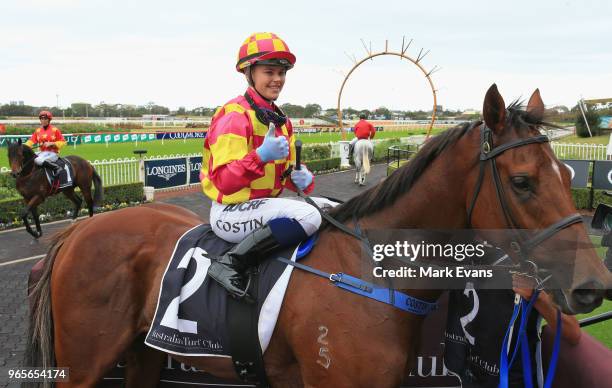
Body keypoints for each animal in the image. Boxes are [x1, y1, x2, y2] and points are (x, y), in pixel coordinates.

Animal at [23, 85, 612, 388]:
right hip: (85, 359)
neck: (369, 271)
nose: (592, 285)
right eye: (522, 181)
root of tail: (78, 231)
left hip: (142, 353)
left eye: (567, 176)